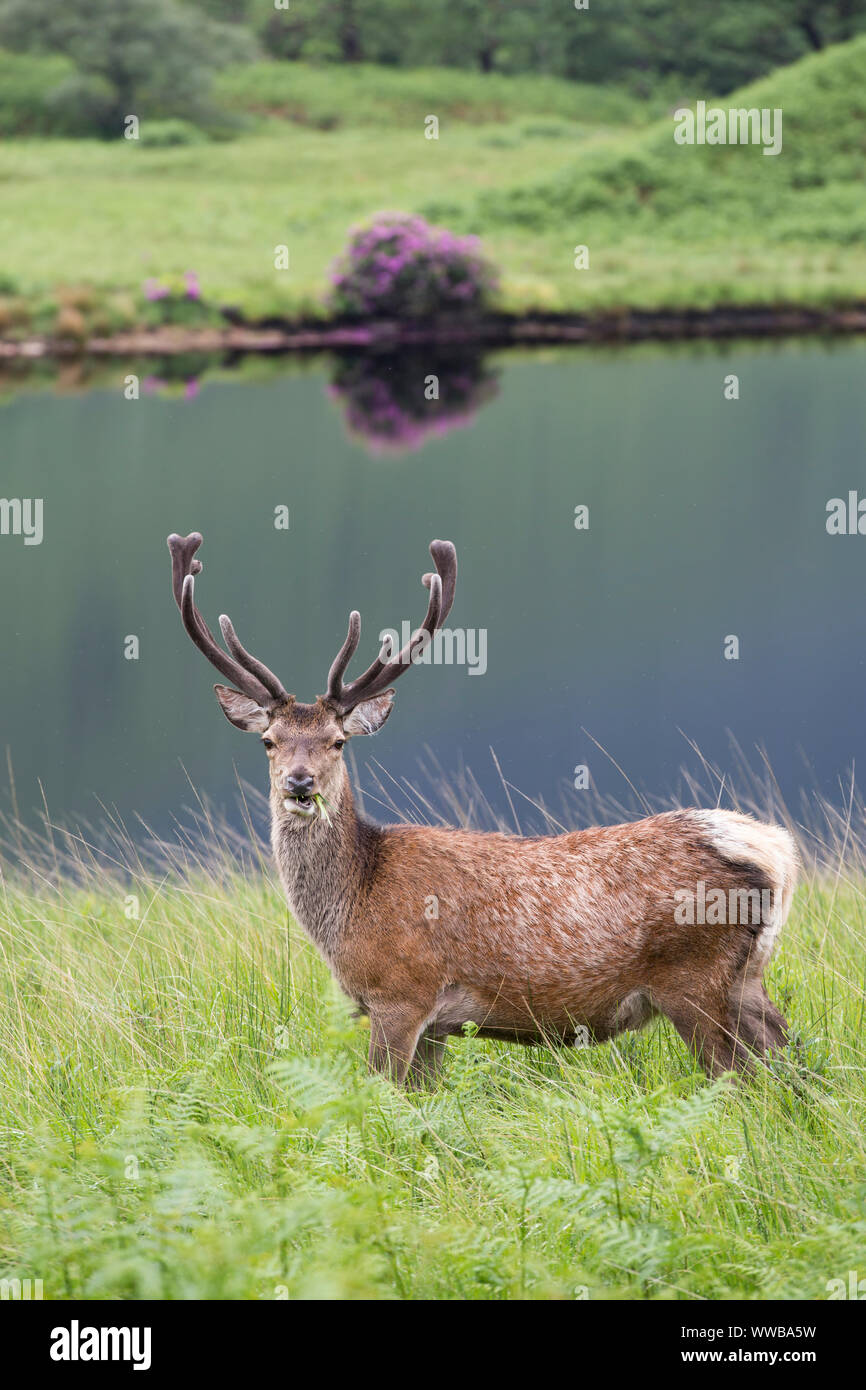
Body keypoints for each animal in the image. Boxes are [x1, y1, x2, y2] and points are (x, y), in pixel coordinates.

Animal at [166, 531, 797, 1087]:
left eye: (337, 741)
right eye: (268, 741)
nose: (300, 784)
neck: (353, 904)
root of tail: (775, 852)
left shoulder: (401, 993)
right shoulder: (436, 1026)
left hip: (694, 980)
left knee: (738, 1081)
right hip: (748, 978)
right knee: (789, 1068)